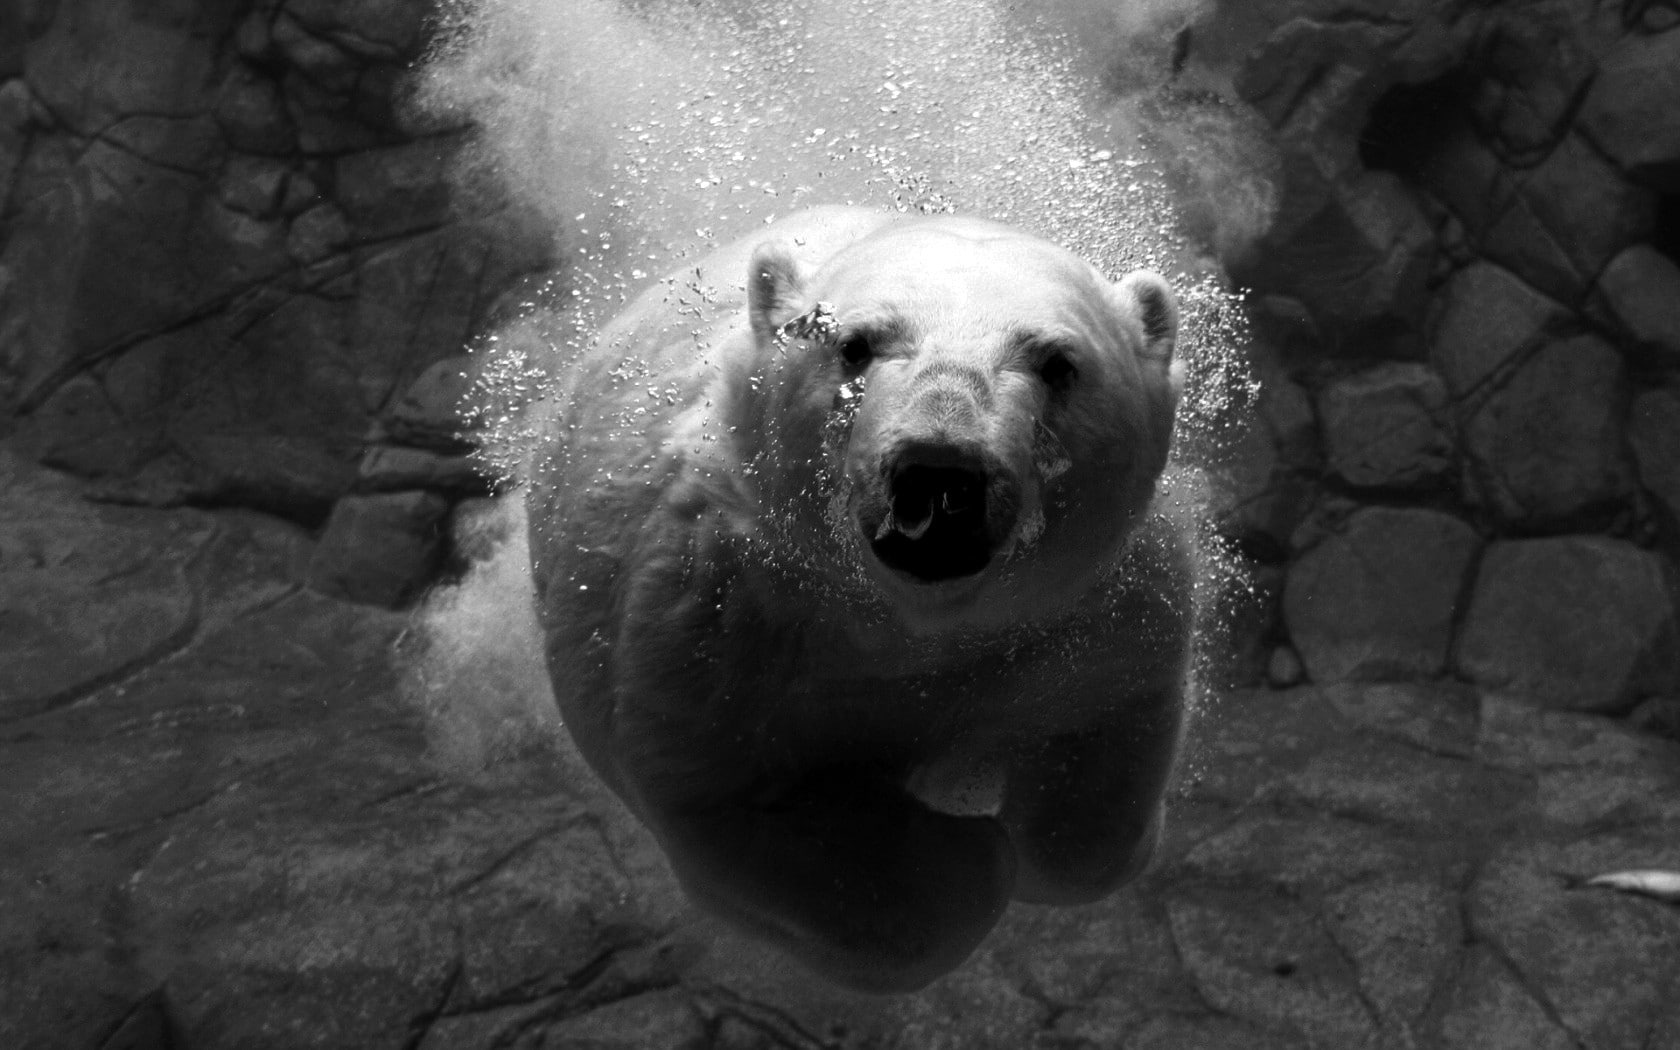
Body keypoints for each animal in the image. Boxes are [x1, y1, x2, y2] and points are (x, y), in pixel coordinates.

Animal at [525, 205, 1191, 993]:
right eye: (854, 344)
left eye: (1058, 362)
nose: (940, 471)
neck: (909, 621)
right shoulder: (719, 612)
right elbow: (736, 800)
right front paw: (968, 853)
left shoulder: (1090, 607)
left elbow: (1103, 731)